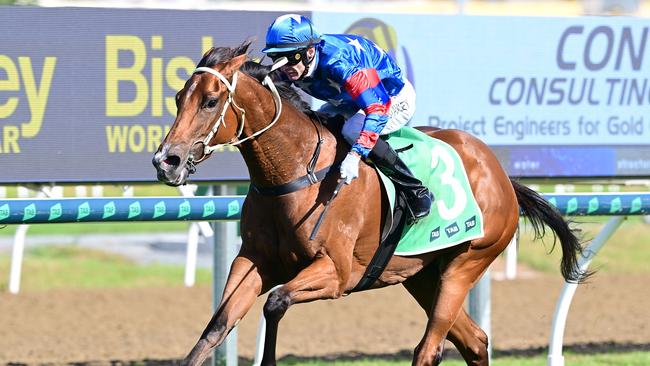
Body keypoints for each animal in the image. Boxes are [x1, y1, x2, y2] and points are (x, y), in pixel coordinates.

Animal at [152, 41, 588, 364]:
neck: (294, 170)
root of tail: (499, 173)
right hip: (421, 274)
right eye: (178, 97)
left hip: (467, 262)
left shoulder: (336, 272)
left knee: (429, 349)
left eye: (210, 101)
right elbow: (218, 324)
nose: (165, 161)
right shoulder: (254, 260)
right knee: (475, 340)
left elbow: (275, 303)